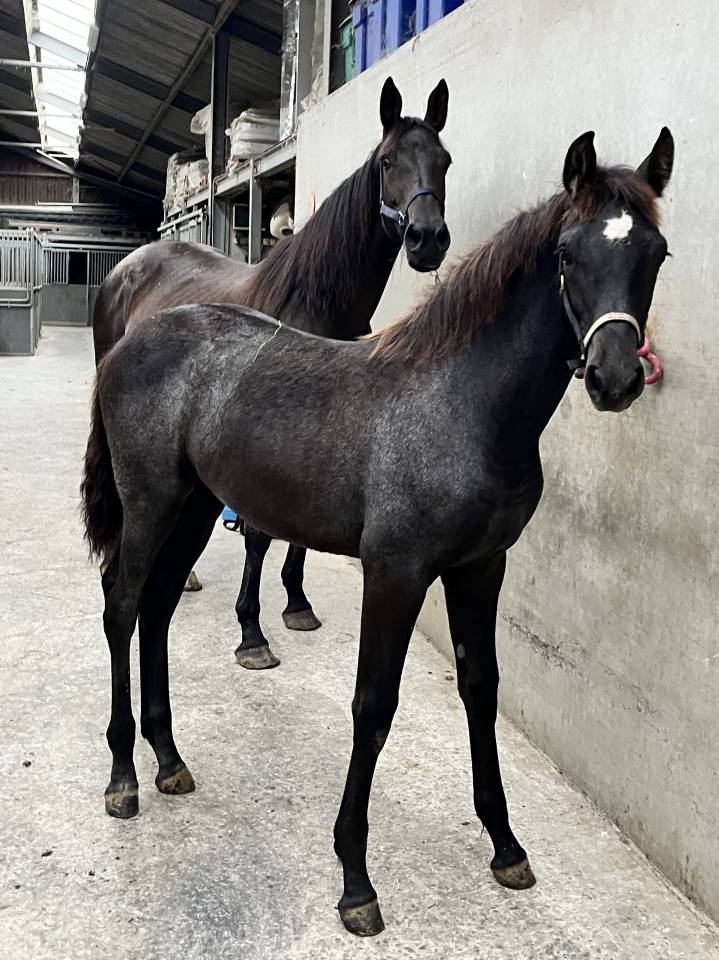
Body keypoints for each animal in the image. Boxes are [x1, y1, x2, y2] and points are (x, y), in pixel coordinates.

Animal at [92, 76, 452, 670]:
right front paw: (251, 632)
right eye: (387, 161)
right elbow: (259, 537)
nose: (427, 239)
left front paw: (297, 604)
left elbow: (299, 535)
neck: (311, 298)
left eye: (444, 161)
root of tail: (131, 262)